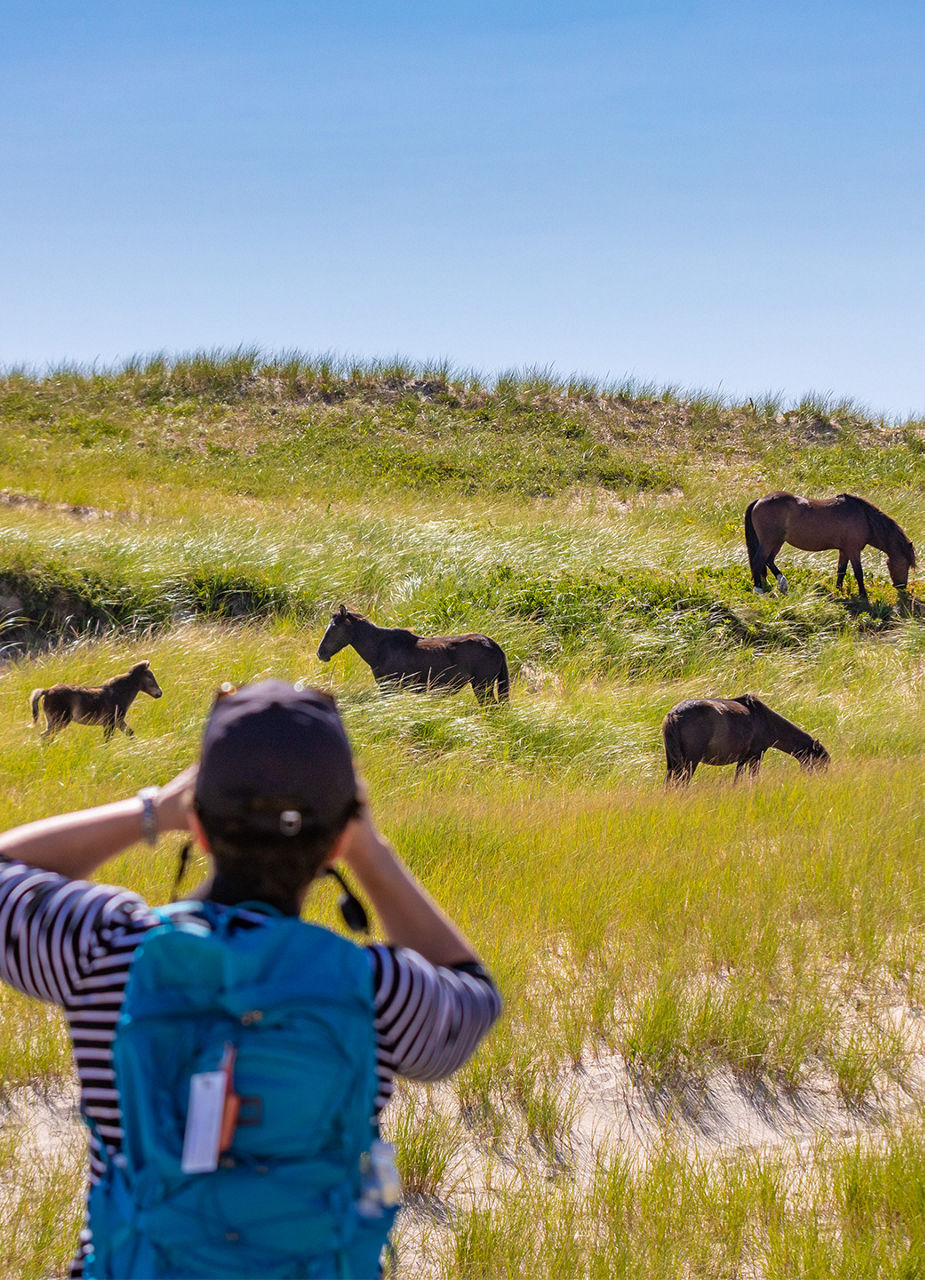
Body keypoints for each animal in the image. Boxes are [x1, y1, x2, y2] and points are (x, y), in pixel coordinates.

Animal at [30, 660, 165, 742]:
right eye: (150, 677)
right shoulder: (110, 723)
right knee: (46, 736)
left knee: (46, 736)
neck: (119, 693)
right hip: (60, 720)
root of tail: (47, 691)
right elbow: (107, 740)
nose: (159, 693)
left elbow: (130, 733)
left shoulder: (118, 721)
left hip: (52, 721)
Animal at [314, 604, 509, 706]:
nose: (320, 653)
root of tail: (494, 645)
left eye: (334, 628)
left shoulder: (389, 687)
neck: (380, 648)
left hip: (482, 686)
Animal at [660, 696, 829, 783]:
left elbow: (738, 778)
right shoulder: (757, 755)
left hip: (672, 761)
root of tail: (674, 714)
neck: (767, 720)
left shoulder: (743, 758)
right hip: (690, 761)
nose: (821, 780)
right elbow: (753, 777)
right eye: (820, 763)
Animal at [747, 494, 921, 604]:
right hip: (770, 541)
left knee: (768, 561)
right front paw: (863, 595)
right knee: (758, 561)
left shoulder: (844, 551)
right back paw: (759, 589)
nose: (901, 587)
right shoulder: (853, 550)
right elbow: (858, 573)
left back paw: (780, 582)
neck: (865, 518)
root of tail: (759, 500)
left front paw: (838, 590)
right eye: (905, 563)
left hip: (777, 541)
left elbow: (841, 571)